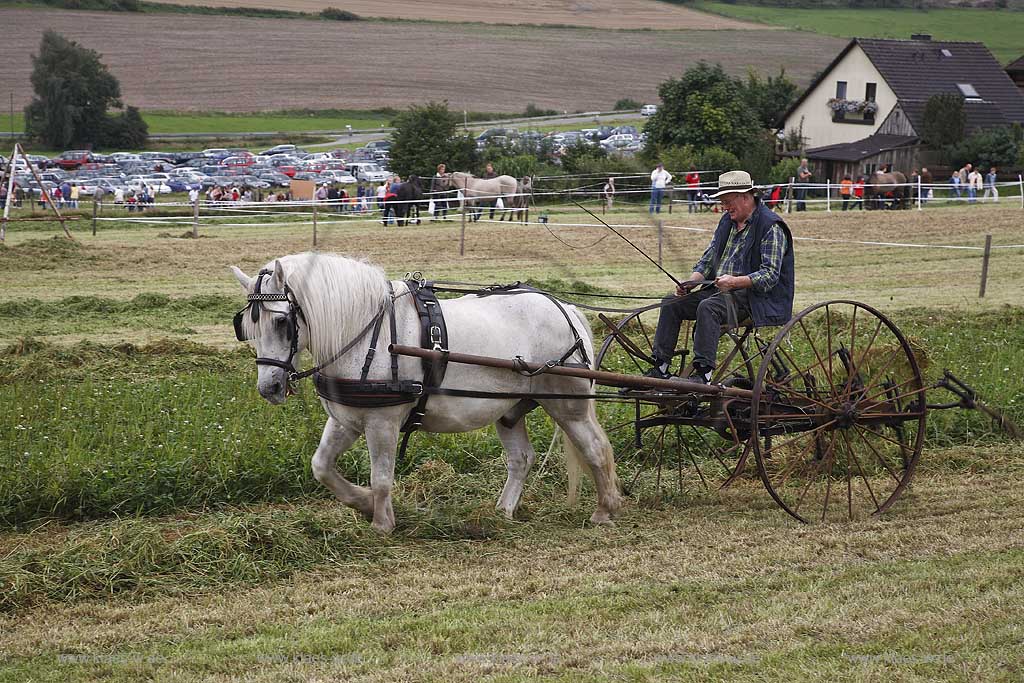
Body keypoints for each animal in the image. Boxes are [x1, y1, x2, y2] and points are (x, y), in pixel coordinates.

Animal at [232, 252, 618, 532]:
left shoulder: (383, 422)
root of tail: (564, 308)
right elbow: (322, 466)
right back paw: (502, 512)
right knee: (521, 458)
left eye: (281, 321)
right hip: (509, 410)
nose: (269, 387)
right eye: (246, 325)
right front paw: (363, 503)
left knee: (595, 448)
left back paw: (605, 509)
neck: (366, 333)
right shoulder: (346, 420)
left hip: (568, 405)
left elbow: (381, 477)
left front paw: (381, 523)